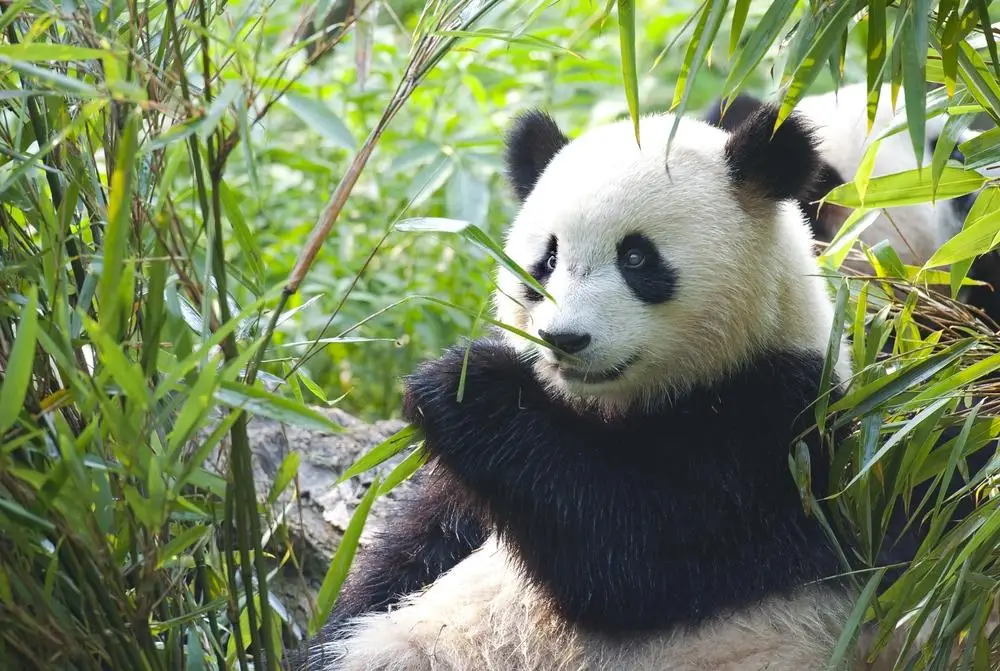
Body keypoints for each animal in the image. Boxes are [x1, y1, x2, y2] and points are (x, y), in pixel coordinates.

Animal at [294, 102, 876, 668]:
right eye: (547, 260)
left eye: (636, 258)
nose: (564, 339)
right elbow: (413, 553)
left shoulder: (779, 431)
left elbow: (639, 551)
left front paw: (469, 384)